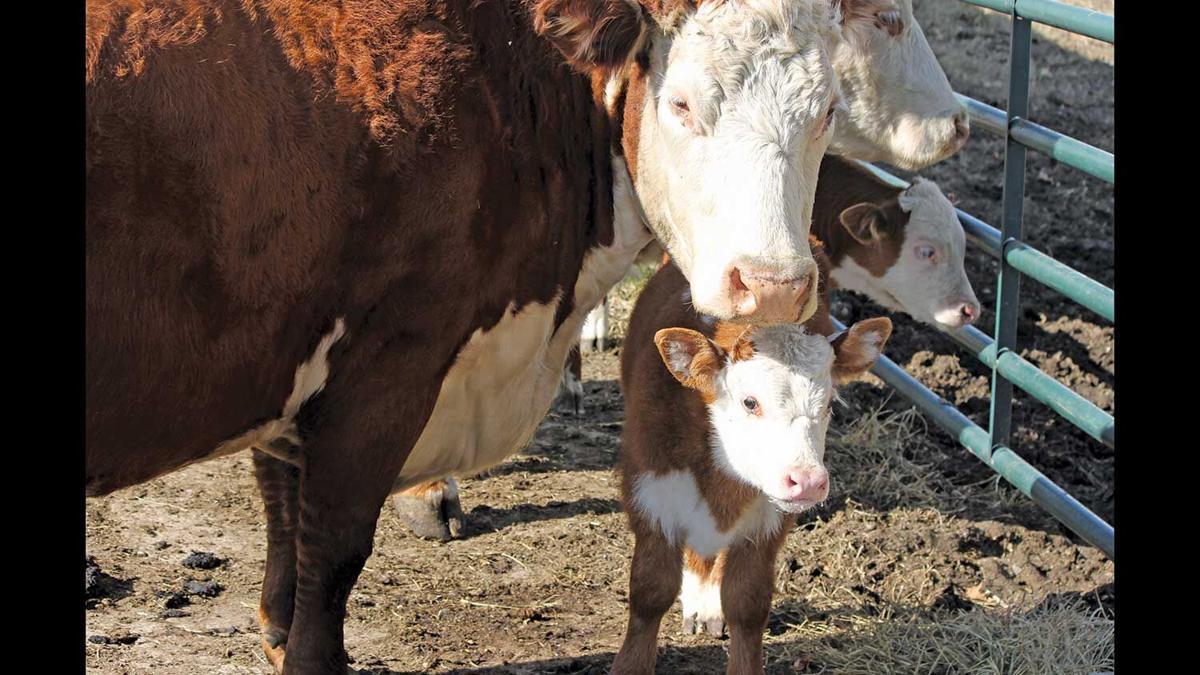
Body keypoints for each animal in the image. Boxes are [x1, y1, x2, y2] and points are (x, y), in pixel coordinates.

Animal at [613, 246, 891, 674]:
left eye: (830, 403)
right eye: (749, 402)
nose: (808, 481)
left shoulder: (767, 521)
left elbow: (747, 602)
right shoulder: (651, 494)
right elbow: (650, 591)